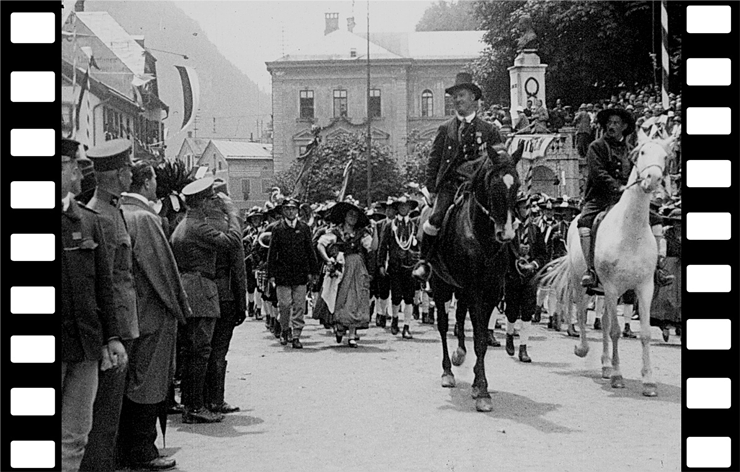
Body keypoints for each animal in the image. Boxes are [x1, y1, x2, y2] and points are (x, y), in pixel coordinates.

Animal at [422, 149, 520, 412]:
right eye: (493, 185)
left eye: (517, 186)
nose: (506, 234)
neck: (481, 235)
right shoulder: (474, 290)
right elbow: (478, 337)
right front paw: (482, 389)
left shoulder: (491, 291)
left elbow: (481, 338)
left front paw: (479, 385)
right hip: (441, 285)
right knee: (444, 326)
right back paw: (447, 371)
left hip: (461, 288)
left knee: (458, 319)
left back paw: (460, 353)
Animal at [540, 128, 672, 394]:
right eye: (642, 152)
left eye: (665, 156)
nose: (652, 179)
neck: (631, 231)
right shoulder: (611, 287)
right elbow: (615, 331)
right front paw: (619, 376)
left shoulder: (644, 287)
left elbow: (642, 332)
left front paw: (648, 380)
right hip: (583, 284)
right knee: (582, 314)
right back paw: (583, 348)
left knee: (604, 322)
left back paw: (605, 365)